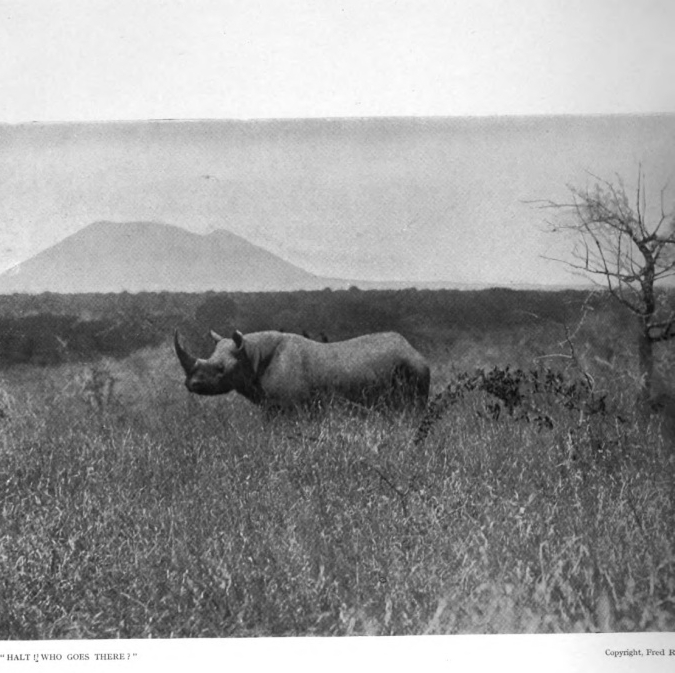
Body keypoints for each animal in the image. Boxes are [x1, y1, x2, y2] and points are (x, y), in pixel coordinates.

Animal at [174, 329, 430, 412]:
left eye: (220, 368)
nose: (191, 384)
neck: (251, 354)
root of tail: (414, 349)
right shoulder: (272, 406)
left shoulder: (291, 406)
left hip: (413, 369)